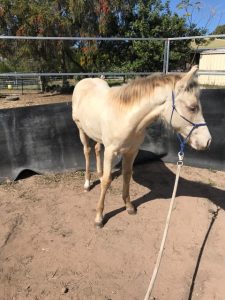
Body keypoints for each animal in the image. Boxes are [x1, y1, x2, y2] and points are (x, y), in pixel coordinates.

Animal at [71, 66, 211, 227]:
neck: (126, 117)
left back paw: (99, 174)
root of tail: (85, 81)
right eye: (192, 107)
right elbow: (106, 181)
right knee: (87, 151)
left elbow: (127, 175)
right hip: (81, 130)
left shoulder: (132, 151)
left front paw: (129, 206)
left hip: (97, 135)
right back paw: (87, 183)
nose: (207, 141)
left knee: (97, 149)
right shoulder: (111, 152)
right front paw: (99, 217)